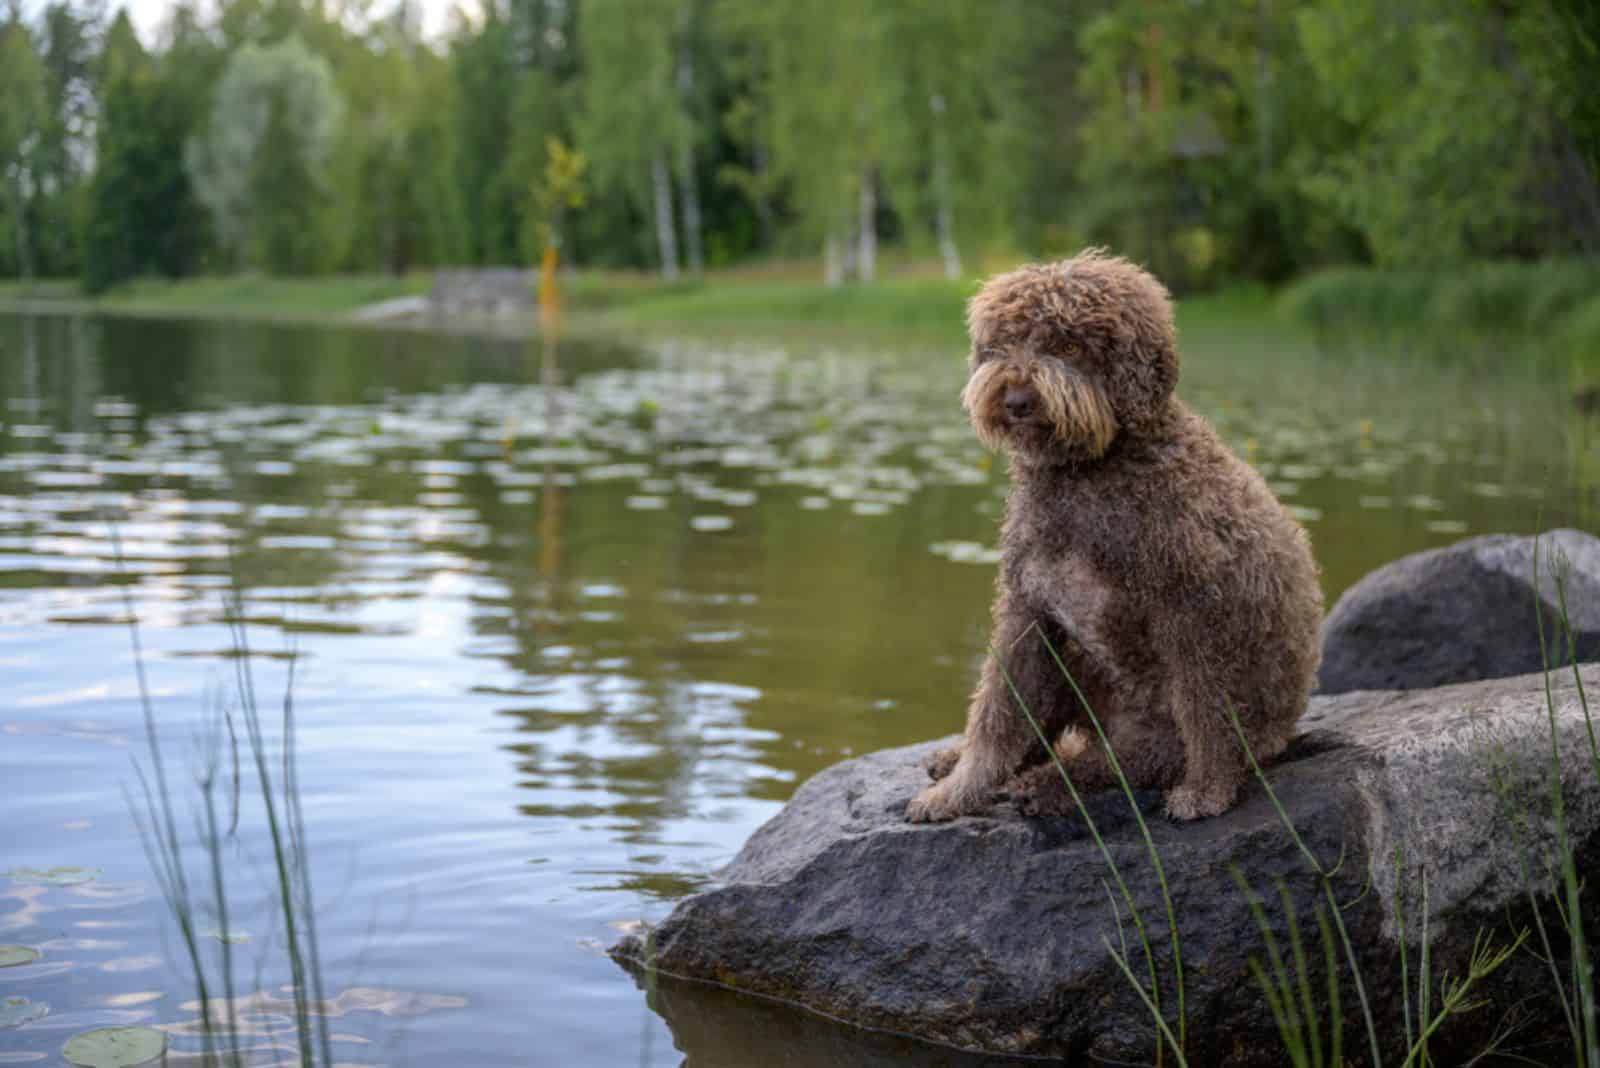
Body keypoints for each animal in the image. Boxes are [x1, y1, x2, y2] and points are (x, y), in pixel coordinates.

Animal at [908, 252, 1318, 824]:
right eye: (1003, 344)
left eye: (1069, 347)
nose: (1016, 399)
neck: (1085, 477)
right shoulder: (1029, 611)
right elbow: (997, 713)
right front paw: (957, 790)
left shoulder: (1191, 612)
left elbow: (1206, 710)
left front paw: (1208, 791)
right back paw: (966, 759)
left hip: (1152, 730)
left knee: (1121, 762)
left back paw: (1046, 785)